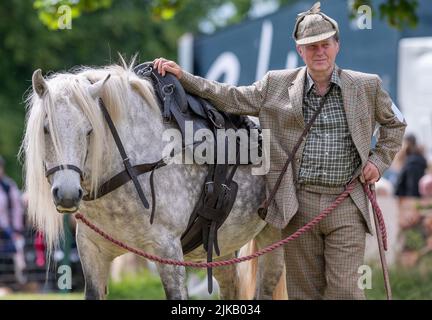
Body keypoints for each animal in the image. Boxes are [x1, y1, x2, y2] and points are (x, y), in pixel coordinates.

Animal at [20, 60, 286, 300]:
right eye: (46, 129)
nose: (67, 194)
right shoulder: (92, 251)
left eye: (89, 130)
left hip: (273, 240)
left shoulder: (168, 251)